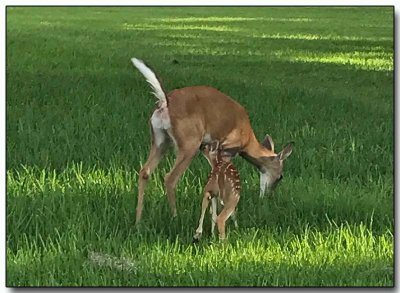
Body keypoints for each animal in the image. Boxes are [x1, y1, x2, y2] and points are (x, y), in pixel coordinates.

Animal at [133, 58, 292, 225]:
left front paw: (214, 215)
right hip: (189, 142)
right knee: (170, 178)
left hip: (160, 140)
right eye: (280, 176)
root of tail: (165, 102)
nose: (268, 196)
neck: (247, 140)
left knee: (144, 171)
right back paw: (175, 217)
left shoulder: (207, 149)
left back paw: (138, 221)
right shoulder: (226, 149)